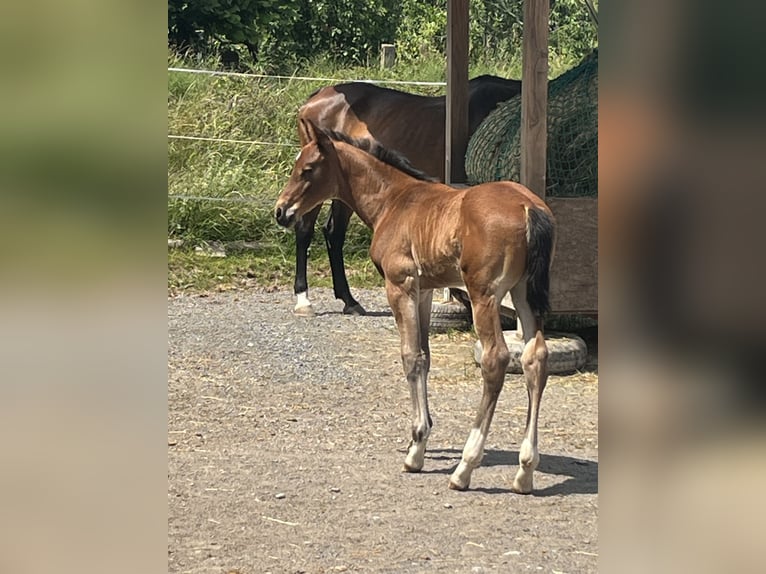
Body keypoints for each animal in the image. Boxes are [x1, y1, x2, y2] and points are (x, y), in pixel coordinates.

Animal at [275, 120, 555, 493]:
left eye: (307, 169)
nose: (281, 211)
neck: (394, 201)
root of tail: (528, 207)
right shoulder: (423, 290)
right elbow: (425, 356)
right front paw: (421, 439)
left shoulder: (400, 285)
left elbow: (410, 357)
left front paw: (416, 448)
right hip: (523, 294)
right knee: (535, 358)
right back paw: (524, 471)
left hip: (484, 294)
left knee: (495, 360)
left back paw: (465, 468)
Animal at [290, 75, 522, 316]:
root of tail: (318, 96)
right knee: (305, 230)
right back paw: (304, 299)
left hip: (341, 190)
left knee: (334, 234)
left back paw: (349, 300)